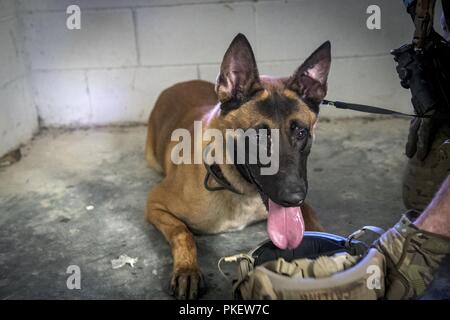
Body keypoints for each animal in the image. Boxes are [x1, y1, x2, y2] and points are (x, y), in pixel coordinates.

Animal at [146, 33, 332, 298]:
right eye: (258, 136)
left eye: (301, 132)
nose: (294, 197)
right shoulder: (155, 203)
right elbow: (182, 233)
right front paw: (187, 269)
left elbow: (314, 225)